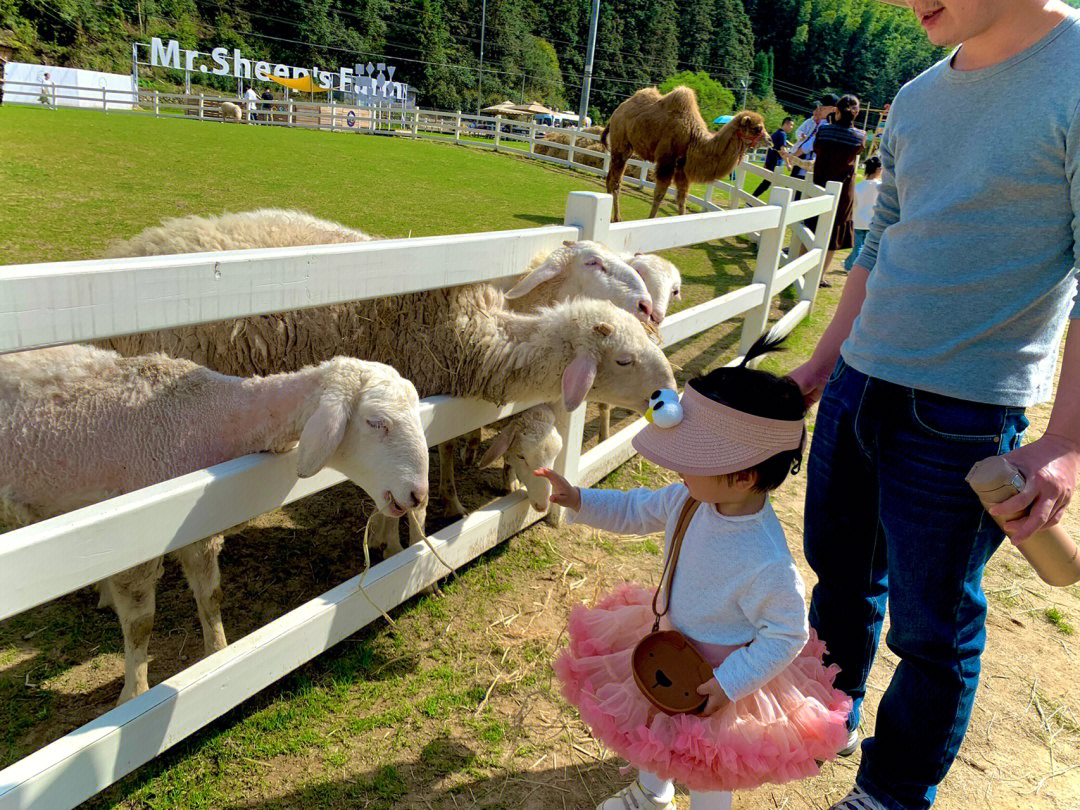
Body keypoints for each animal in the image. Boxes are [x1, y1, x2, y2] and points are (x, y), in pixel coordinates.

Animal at [0, 343, 429, 704]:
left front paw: (218, 659)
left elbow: (211, 597)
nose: (418, 495)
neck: (210, 414)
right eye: (376, 422)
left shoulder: (200, 529)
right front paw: (133, 697)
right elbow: (141, 625)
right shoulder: (135, 542)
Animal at [604, 86, 773, 222]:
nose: (770, 140)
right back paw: (617, 217)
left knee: (609, 176)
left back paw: (609, 212)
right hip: (621, 143)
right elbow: (659, 194)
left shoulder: (682, 167)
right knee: (616, 181)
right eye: (757, 128)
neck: (693, 137)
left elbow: (682, 198)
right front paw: (650, 220)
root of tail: (615, 113)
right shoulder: (667, 160)